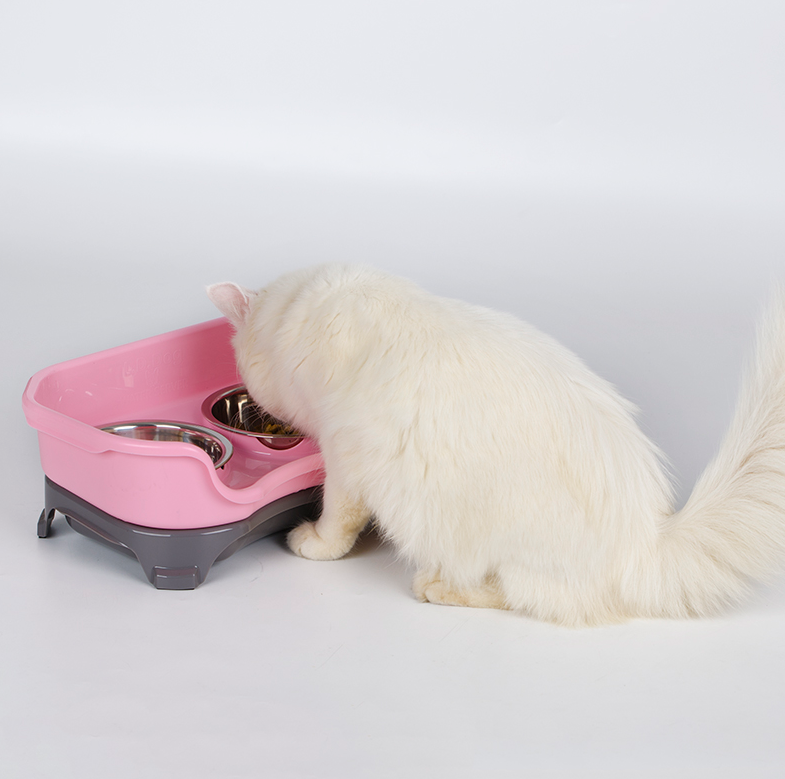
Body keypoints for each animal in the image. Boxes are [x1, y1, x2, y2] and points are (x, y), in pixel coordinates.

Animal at [208, 266, 784, 624]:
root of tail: (646, 540)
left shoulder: (347, 456)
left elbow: (338, 518)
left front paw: (315, 542)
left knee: (521, 594)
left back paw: (436, 586)